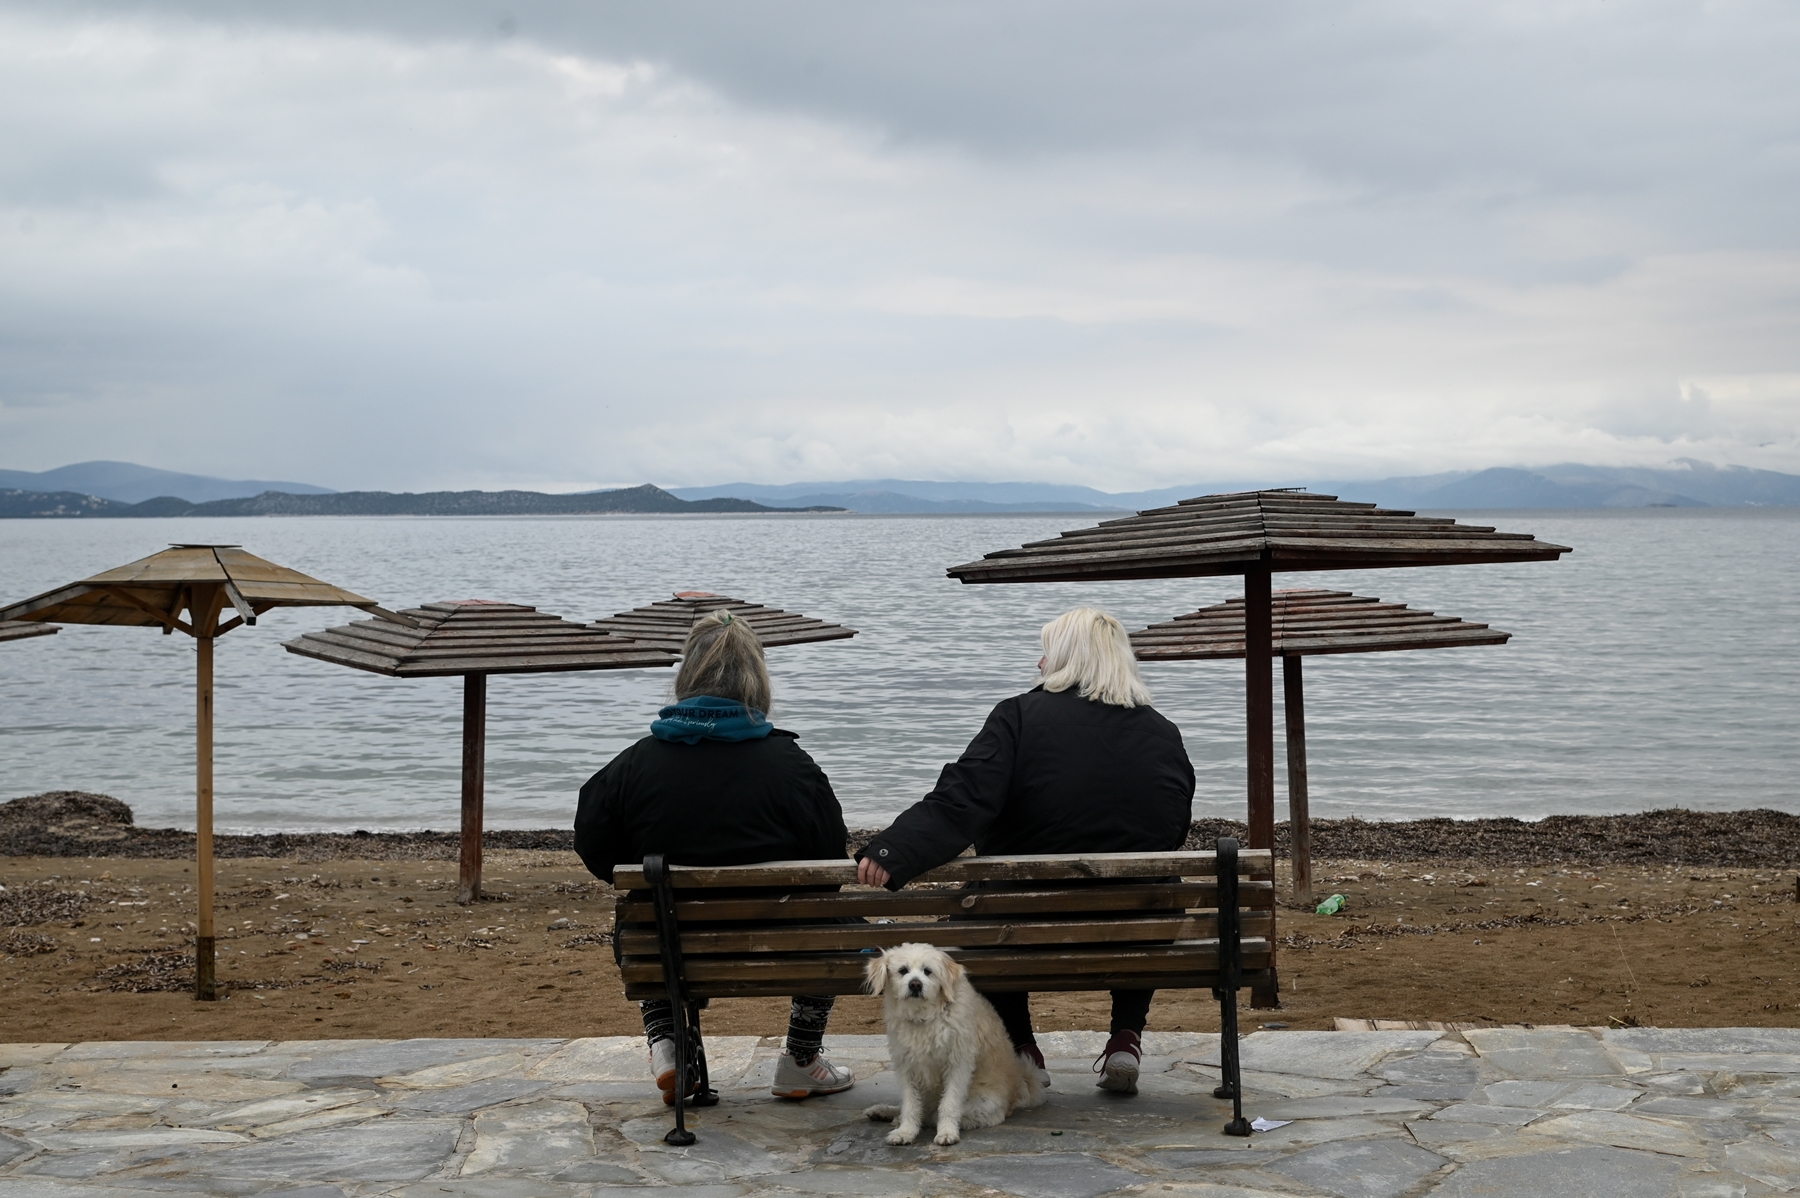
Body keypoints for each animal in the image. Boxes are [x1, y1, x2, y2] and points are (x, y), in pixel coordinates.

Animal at [856, 935, 1044, 1144]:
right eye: (902, 970)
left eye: (928, 971)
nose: (915, 984)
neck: (925, 1016)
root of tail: (1019, 1090)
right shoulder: (906, 1066)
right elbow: (910, 1104)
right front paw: (905, 1132)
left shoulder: (957, 1065)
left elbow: (948, 1104)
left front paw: (946, 1132)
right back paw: (884, 1112)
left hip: (983, 1104)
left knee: (937, 1114)